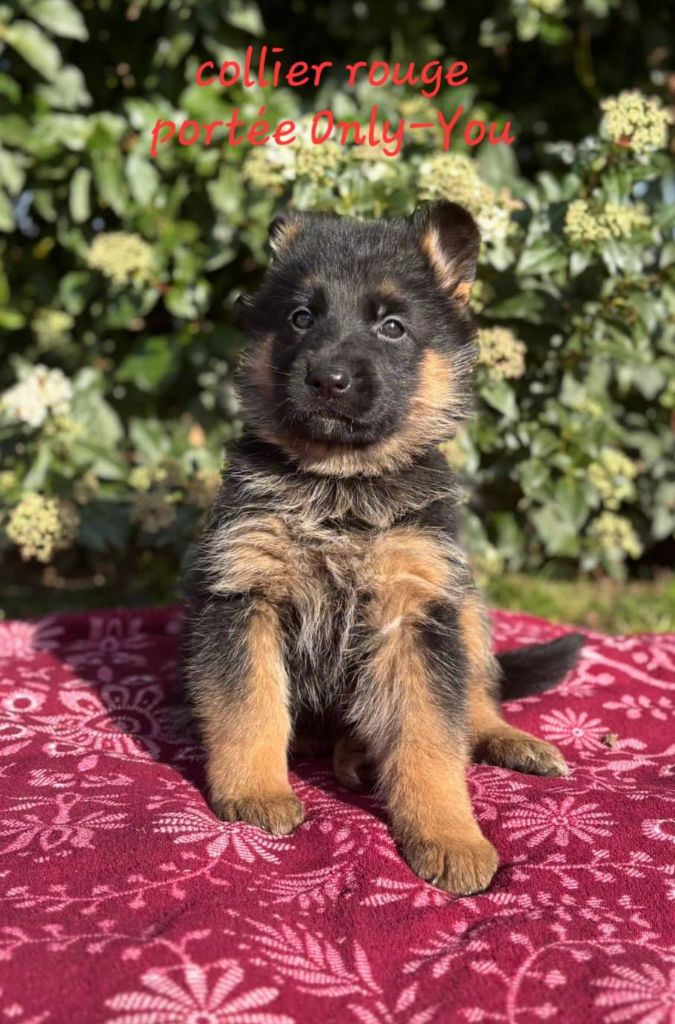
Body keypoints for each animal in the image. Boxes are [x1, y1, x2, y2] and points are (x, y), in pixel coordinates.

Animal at [181, 201, 584, 895]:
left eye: (392, 327)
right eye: (301, 317)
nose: (328, 379)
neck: (342, 487)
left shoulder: (416, 611)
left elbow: (431, 739)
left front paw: (449, 835)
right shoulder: (243, 595)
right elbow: (250, 706)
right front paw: (256, 793)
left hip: (464, 603)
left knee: (477, 698)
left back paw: (505, 740)